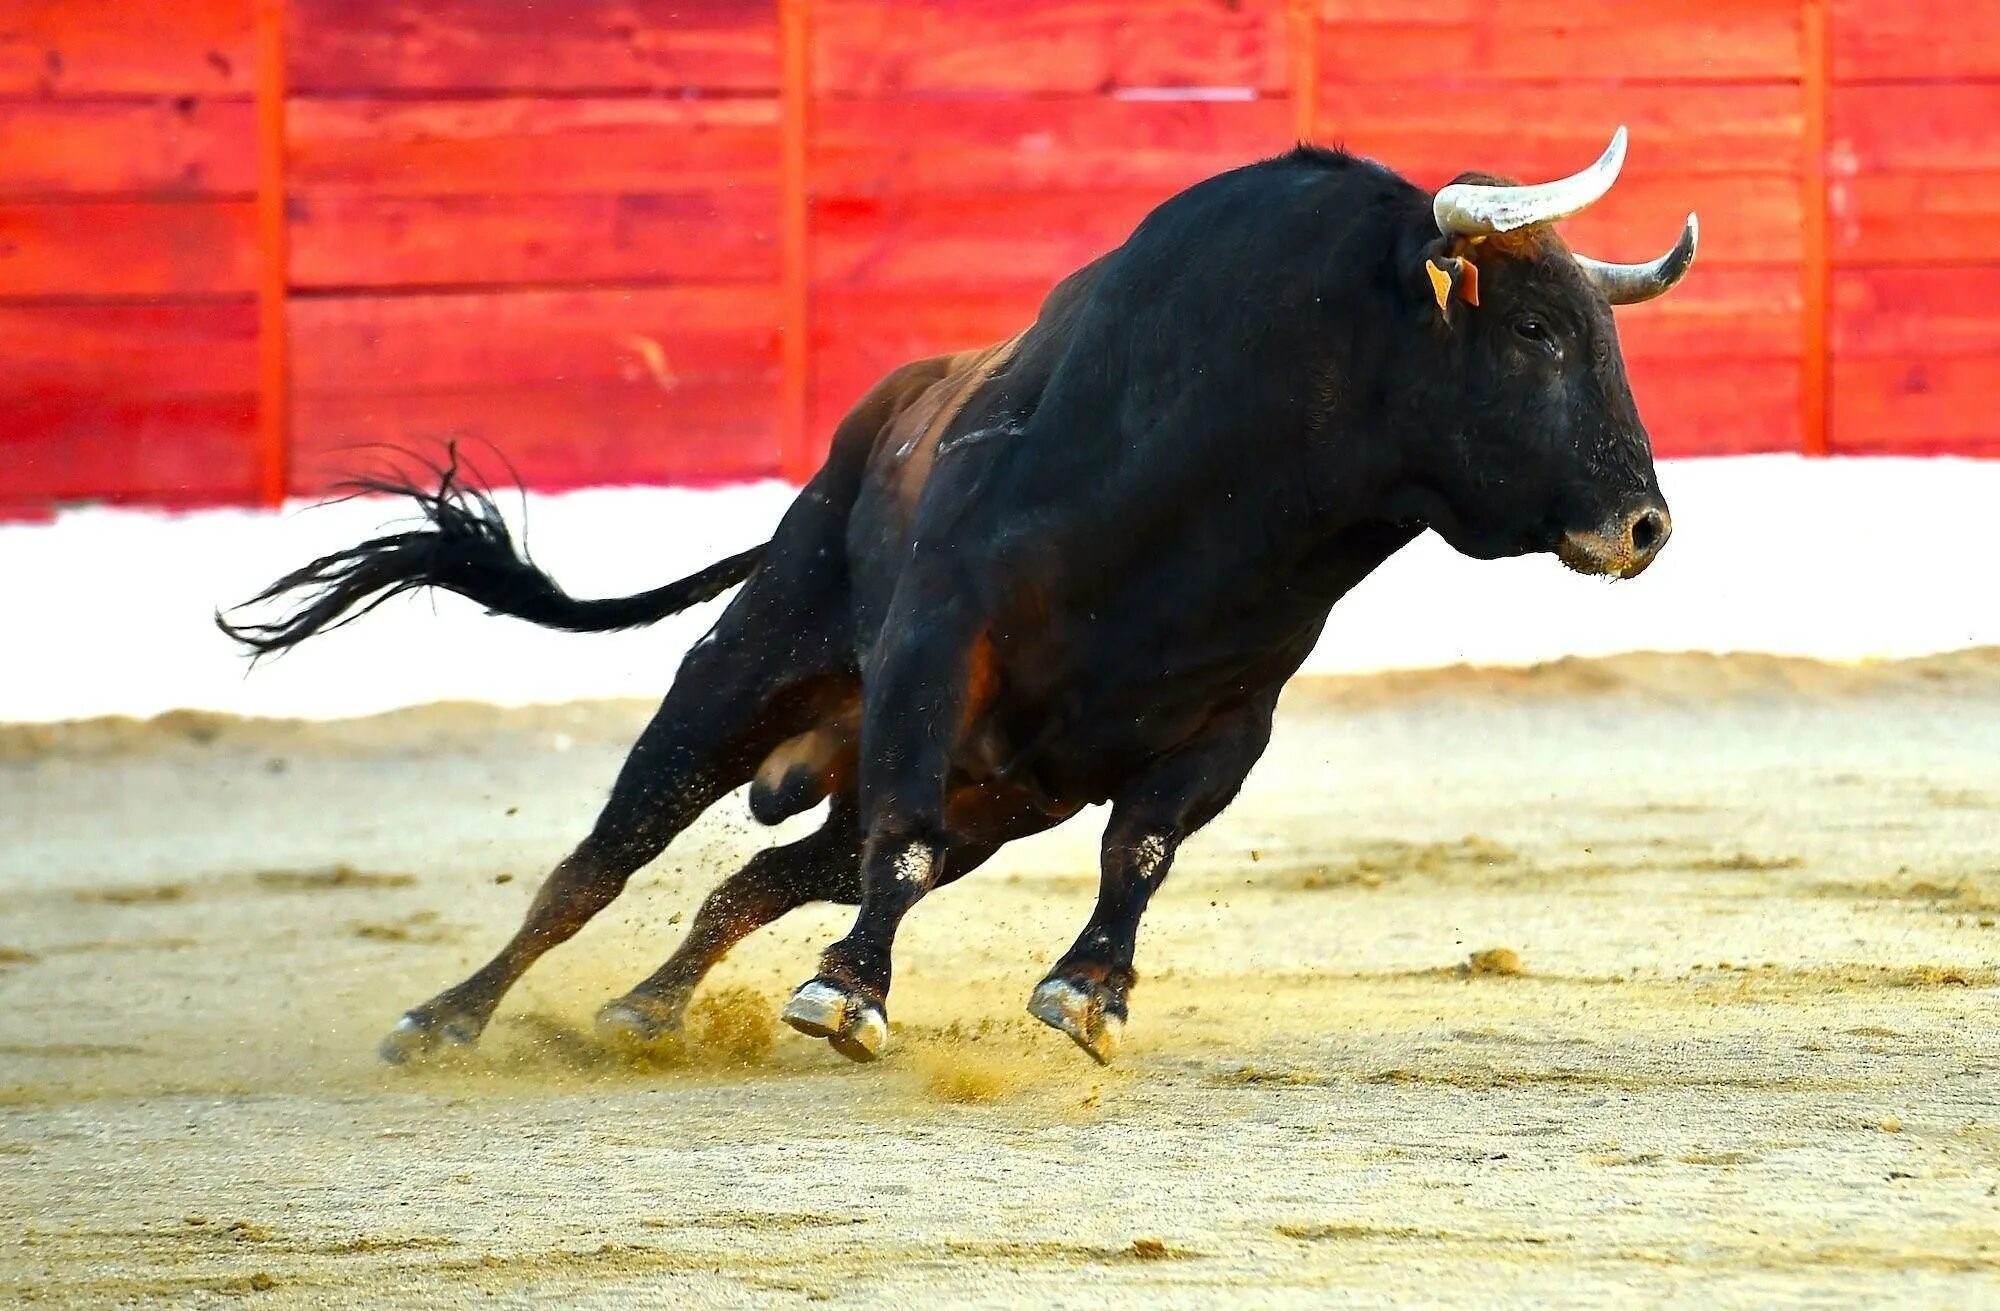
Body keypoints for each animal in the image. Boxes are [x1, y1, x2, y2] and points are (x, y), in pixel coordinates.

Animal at [227, 130, 1696, 1063]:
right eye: (1534, 332)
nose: (1643, 525)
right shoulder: (941, 654)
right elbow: (903, 845)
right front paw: (849, 998)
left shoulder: (1227, 722)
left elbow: (1136, 848)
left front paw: (1089, 990)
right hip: (743, 669)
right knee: (604, 860)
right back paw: (447, 1018)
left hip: (998, 793)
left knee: (763, 874)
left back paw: (646, 1011)